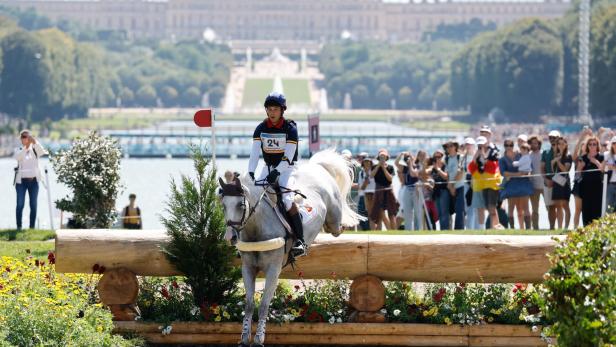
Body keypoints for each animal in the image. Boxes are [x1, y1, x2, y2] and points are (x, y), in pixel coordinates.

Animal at [219, 150, 360, 347]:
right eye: (223, 205)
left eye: (240, 205)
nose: (229, 237)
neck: (257, 229)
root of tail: (317, 166)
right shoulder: (248, 268)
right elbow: (249, 304)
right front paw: (244, 337)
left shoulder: (273, 269)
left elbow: (263, 305)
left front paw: (259, 338)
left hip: (334, 217)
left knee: (336, 228)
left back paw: (346, 224)